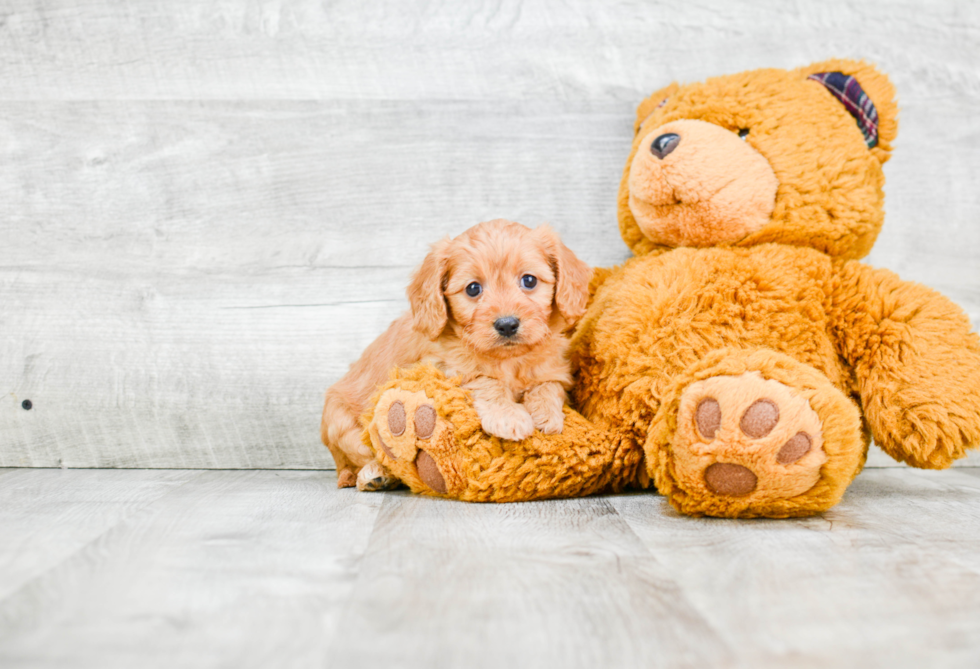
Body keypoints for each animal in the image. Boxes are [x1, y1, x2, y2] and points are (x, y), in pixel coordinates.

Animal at [322, 219, 588, 490]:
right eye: (473, 289)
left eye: (529, 281)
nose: (507, 325)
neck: (509, 360)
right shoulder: (439, 367)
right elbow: (485, 380)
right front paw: (508, 416)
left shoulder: (554, 368)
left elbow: (549, 385)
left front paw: (546, 414)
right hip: (342, 427)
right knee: (358, 462)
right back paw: (375, 474)